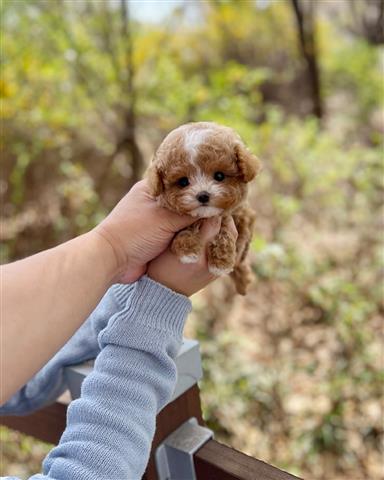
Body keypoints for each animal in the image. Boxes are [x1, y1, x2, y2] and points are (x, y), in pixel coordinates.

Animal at [146, 121, 260, 292]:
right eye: (183, 182)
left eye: (219, 176)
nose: (203, 195)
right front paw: (187, 250)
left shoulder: (237, 215)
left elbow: (227, 229)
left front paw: (221, 262)